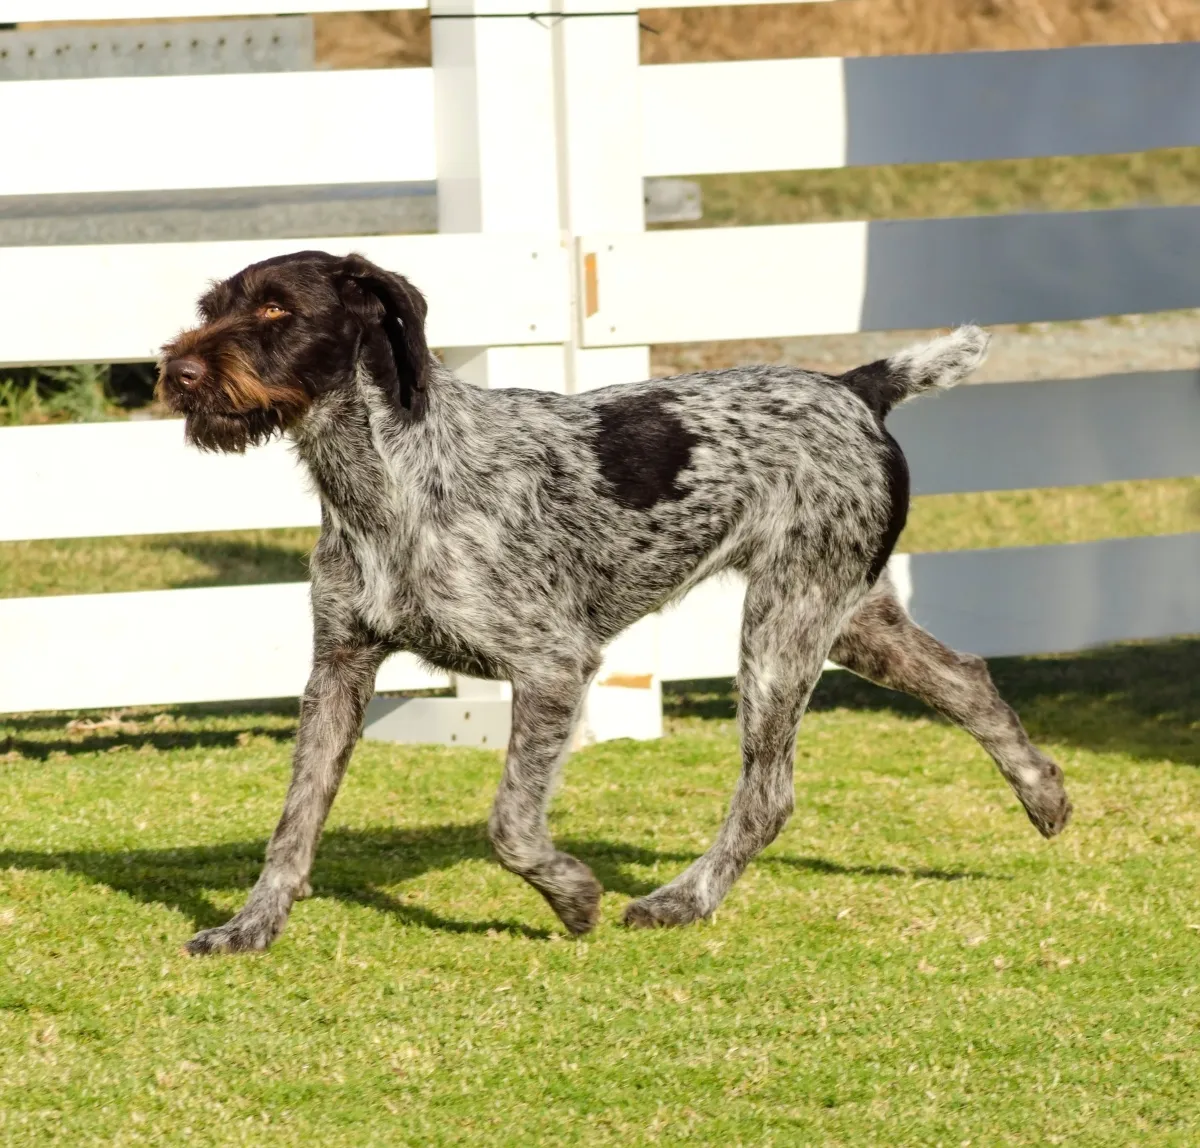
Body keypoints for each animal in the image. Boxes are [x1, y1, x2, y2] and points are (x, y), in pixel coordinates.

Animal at [157, 250, 1070, 950]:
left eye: (277, 307)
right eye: (210, 309)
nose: (176, 371)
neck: (387, 476)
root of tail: (854, 384)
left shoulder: (554, 666)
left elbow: (511, 826)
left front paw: (572, 896)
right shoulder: (339, 673)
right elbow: (294, 824)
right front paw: (251, 926)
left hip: (781, 634)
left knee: (768, 795)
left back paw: (683, 901)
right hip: (845, 617)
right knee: (969, 679)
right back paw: (1044, 793)